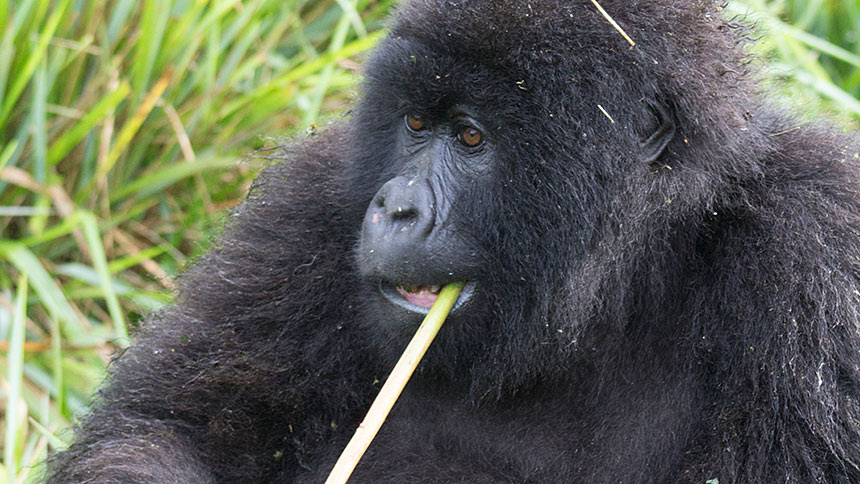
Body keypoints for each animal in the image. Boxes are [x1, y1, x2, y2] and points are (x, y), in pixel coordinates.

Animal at [45, 0, 860, 484]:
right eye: (414, 123)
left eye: (471, 137)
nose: (396, 208)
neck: (627, 279)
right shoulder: (309, 203)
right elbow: (167, 432)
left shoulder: (818, 257)